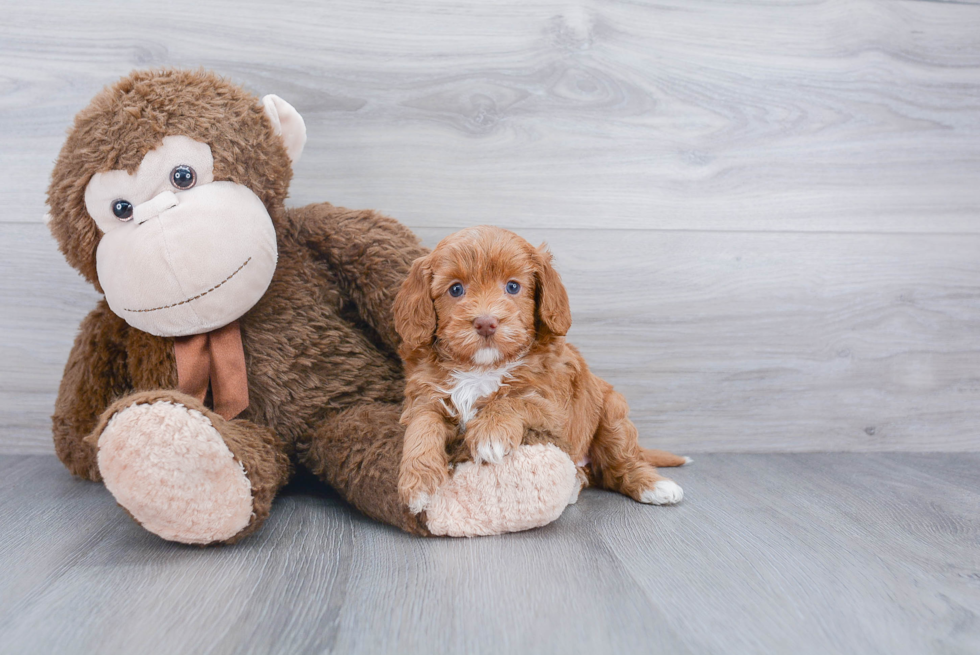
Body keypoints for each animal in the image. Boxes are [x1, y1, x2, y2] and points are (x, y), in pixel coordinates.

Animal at [392, 226, 688, 512]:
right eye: (455, 290)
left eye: (513, 287)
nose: (486, 323)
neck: (482, 368)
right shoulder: (425, 397)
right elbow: (422, 427)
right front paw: (418, 481)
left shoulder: (554, 406)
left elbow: (513, 400)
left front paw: (490, 433)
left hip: (613, 414)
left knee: (621, 463)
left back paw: (653, 485)